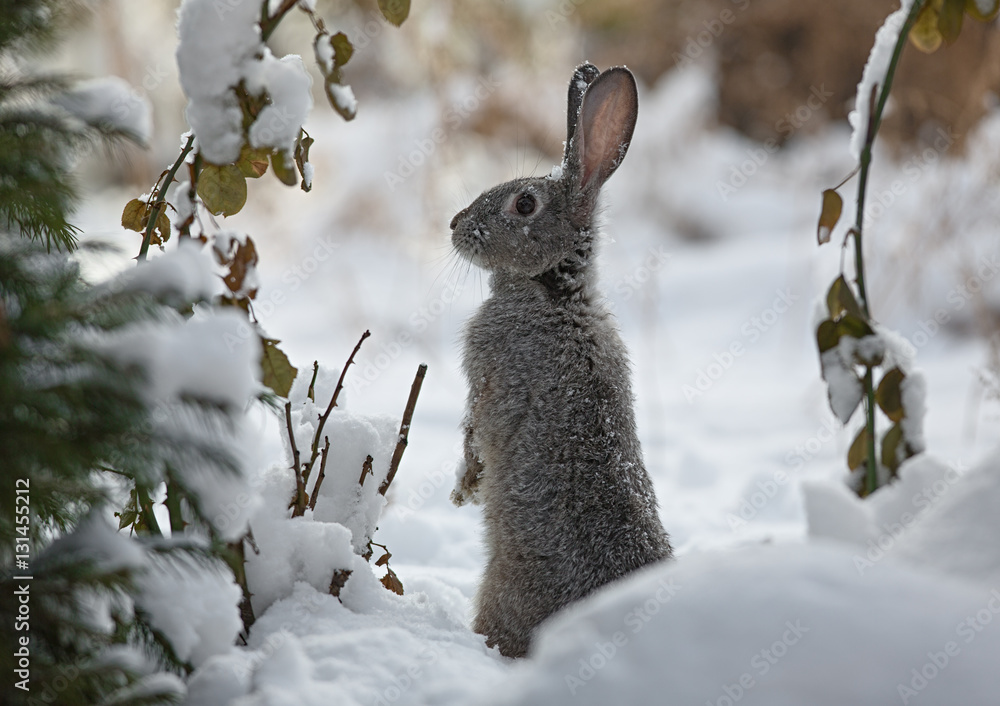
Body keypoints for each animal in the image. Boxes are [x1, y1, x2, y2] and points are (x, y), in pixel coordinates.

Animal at [449, 63, 673, 658]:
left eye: (524, 205)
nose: (454, 224)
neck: (553, 292)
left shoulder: (489, 379)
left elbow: (474, 433)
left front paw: (464, 489)